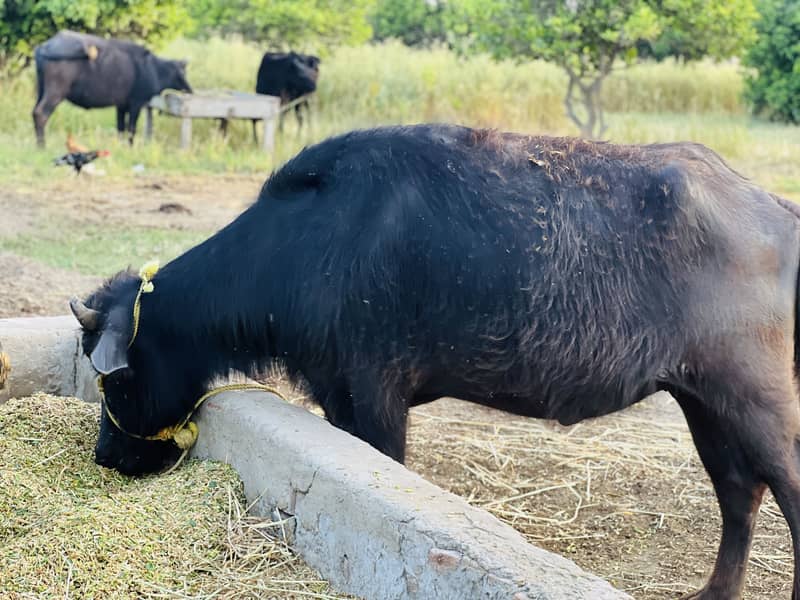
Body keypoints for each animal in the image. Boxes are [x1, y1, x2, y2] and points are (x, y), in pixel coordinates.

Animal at [33, 30, 192, 147]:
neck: (154, 69)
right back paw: (42, 146)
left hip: (41, 90)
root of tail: (44, 46)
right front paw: (130, 147)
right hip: (55, 92)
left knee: (34, 112)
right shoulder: (136, 104)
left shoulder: (121, 106)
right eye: (183, 72)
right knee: (40, 114)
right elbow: (131, 129)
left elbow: (120, 128)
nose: (190, 90)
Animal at [72, 124, 800, 598]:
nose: (107, 454)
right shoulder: (338, 394)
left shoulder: (374, 393)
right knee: (739, 494)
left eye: (117, 379)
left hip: (754, 396)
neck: (308, 245)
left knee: (783, 485)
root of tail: (775, 211)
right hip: (703, 399)